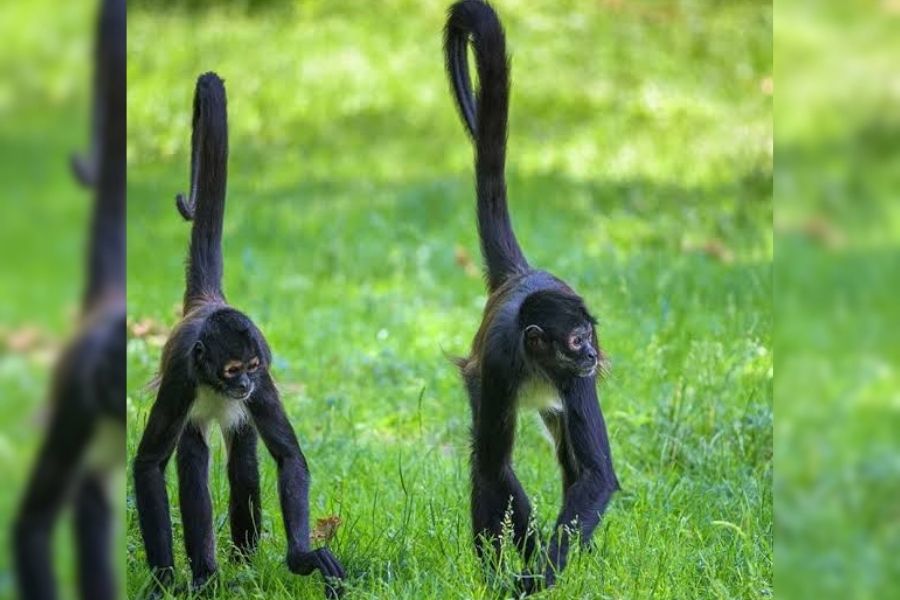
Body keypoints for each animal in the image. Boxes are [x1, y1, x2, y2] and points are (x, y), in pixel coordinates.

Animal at [131, 72, 345, 598]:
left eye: (249, 368)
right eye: (230, 370)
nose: (243, 384)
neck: (214, 381)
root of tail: (208, 302)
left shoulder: (264, 371)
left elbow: (287, 457)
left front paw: (301, 557)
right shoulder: (182, 378)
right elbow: (149, 465)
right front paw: (164, 580)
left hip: (242, 414)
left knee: (243, 458)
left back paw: (243, 562)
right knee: (193, 461)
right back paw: (206, 572)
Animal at [443, 0, 620, 593]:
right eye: (574, 341)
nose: (591, 355)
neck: (539, 360)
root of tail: (523, 277)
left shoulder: (575, 380)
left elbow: (595, 475)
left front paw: (542, 572)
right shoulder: (501, 363)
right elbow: (495, 470)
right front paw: (519, 572)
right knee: (486, 462)